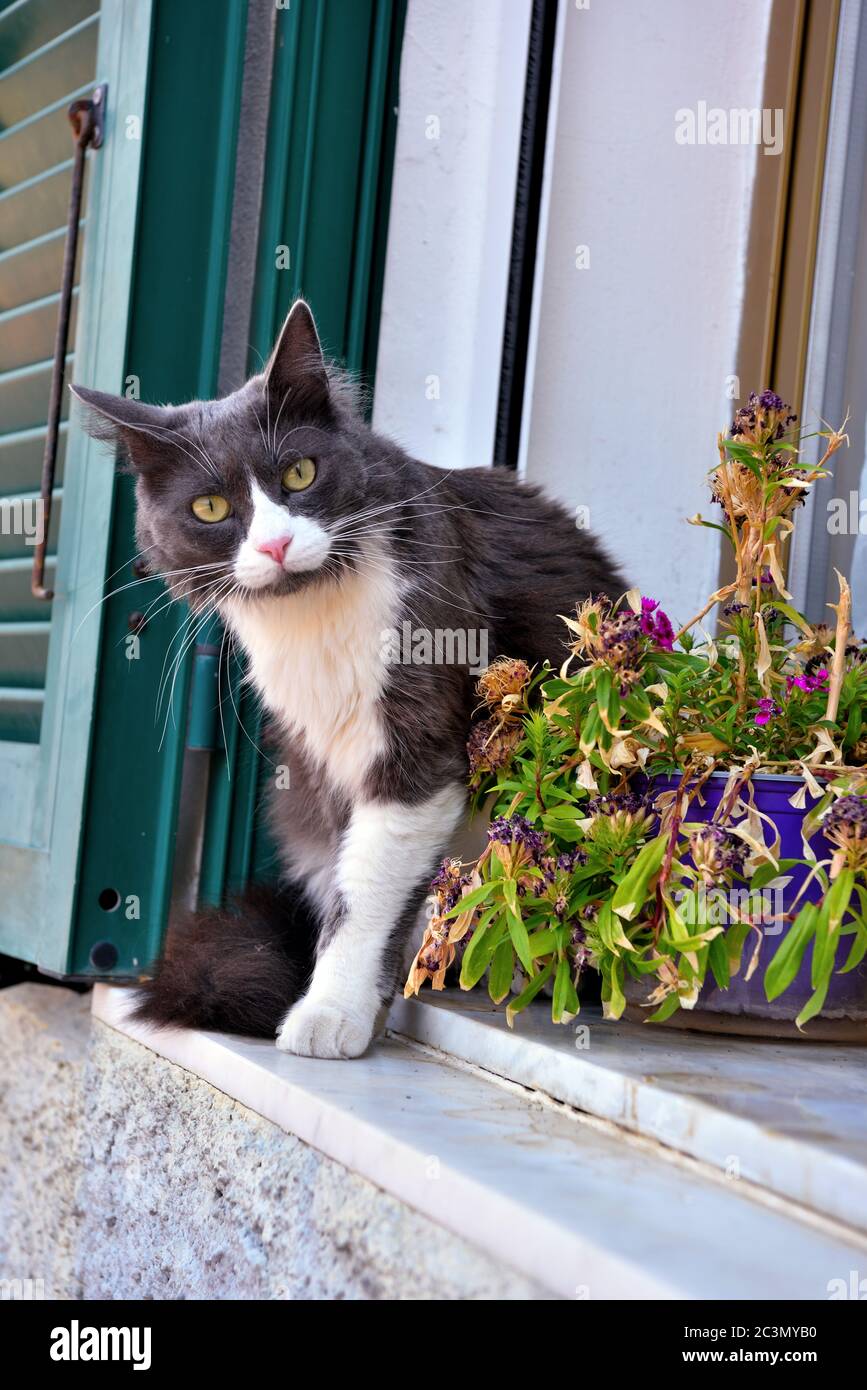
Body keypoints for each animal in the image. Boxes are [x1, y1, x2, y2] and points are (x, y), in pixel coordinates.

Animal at [69, 301, 622, 1050]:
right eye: (210, 508)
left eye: (301, 474)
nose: (275, 543)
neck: (311, 617)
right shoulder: (326, 753)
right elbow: (341, 875)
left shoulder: (419, 737)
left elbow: (366, 889)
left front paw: (331, 1012)